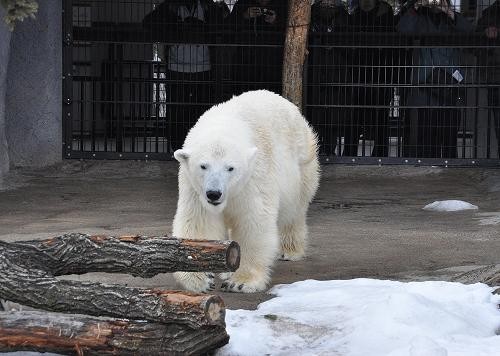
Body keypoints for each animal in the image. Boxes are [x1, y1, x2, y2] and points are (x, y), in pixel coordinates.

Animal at [174, 89, 318, 292]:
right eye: (203, 166)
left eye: (230, 168)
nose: (214, 193)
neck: (226, 123)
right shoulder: (194, 188)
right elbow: (199, 222)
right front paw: (200, 280)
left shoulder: (254, 177)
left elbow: (253, 222)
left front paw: (240, 282)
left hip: (301, 164)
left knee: (293, 211)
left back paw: (289, 250)